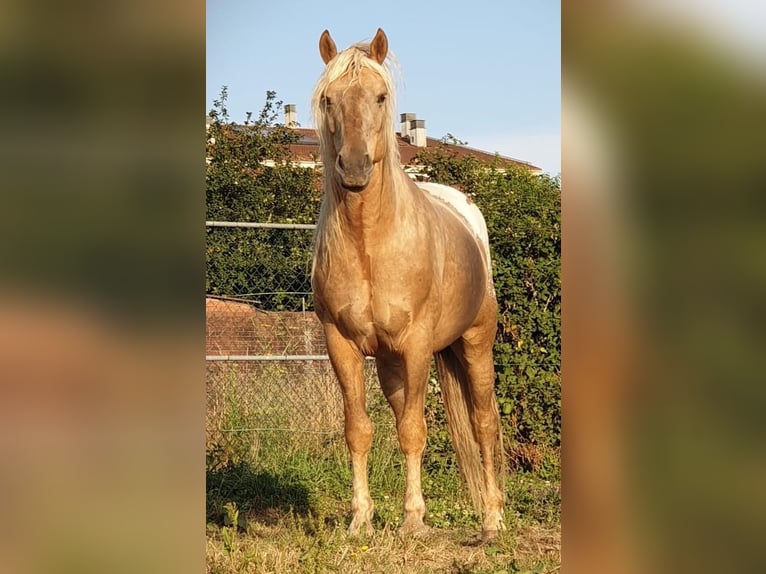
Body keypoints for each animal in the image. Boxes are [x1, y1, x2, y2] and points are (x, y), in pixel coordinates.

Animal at [310, 27, 504, 540]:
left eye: (380, 96)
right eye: (329, 99)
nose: (354, 167)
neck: (370, 244)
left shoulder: (417, 344)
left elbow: (416, 431)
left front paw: (414, 519)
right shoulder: (342, 345)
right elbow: (359, 429)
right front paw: (361, 517)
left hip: (475, 345)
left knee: (483, 424)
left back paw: (493, 519)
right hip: (391, 363)